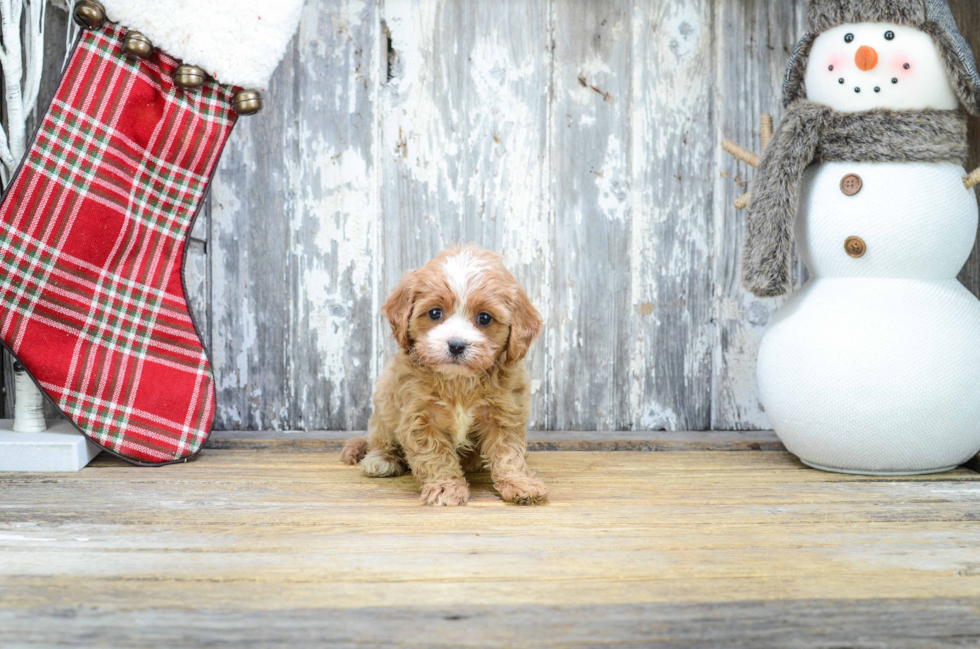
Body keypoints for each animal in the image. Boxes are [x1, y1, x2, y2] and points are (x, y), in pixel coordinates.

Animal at [342, 243, 544, 506]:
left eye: (484, 318)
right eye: (435, 313)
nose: (456, 345)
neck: (458, 380)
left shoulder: (505, 413)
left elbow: (508, 453)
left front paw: (520, 483)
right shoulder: (419, 416)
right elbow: (435, 456)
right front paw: (445, 488)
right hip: (384, 404)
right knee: (378, 439)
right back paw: (381, 459)